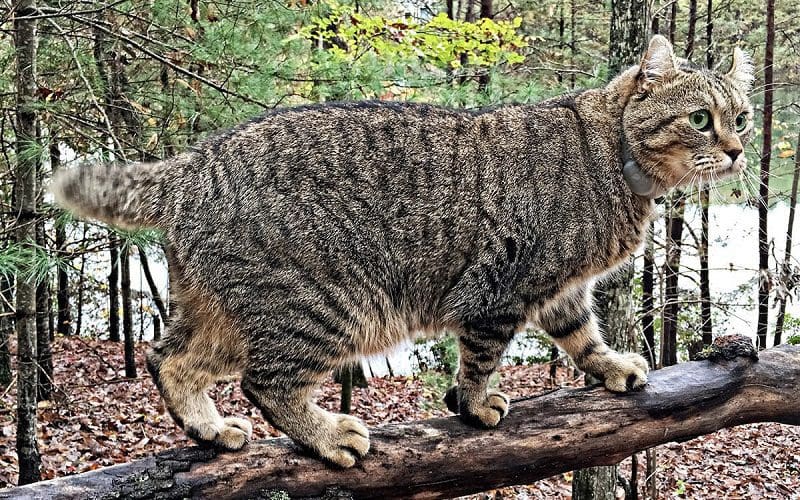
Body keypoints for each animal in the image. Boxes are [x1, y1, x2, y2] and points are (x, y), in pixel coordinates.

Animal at [53, 36, 752, 468]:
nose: (741, 149)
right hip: (323, 308)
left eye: (741, 116)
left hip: (220, 313)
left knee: (167, 358)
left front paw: (608, 367)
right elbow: (481, 358)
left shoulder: (561, 288)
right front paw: (474, 403)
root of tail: (192, 163)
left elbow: (581, 334)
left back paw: (209, 427)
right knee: (265, 382)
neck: (616, 159)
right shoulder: (502, 286)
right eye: (700, 119)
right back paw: (327, 435)